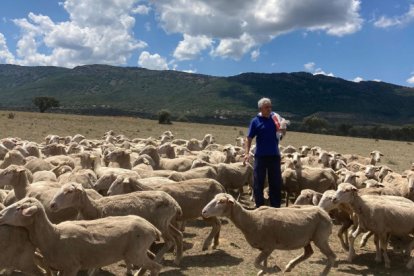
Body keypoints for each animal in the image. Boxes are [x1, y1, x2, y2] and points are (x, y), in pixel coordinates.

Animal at [50, 183, 183, 266]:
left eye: (70, 191)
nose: (52, 205)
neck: (96, 208)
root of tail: (175, 203)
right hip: (166, 222)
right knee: (179, 235)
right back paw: (177, 259)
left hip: (161, 223)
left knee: (170, 241)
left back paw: (156, 260)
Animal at [201, 193, 336, 274]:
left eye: (221, 201)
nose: (203, 212)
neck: (251, 219)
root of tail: (324, 212)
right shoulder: (264, 248)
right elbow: (262, 262)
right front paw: (264, 272)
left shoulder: (269, 246)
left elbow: (256, 263)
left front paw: (270, 271)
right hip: (306, 239)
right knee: (308, 253)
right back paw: (289, 266)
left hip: (320, 238)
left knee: (331, 256)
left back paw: (323, 273)